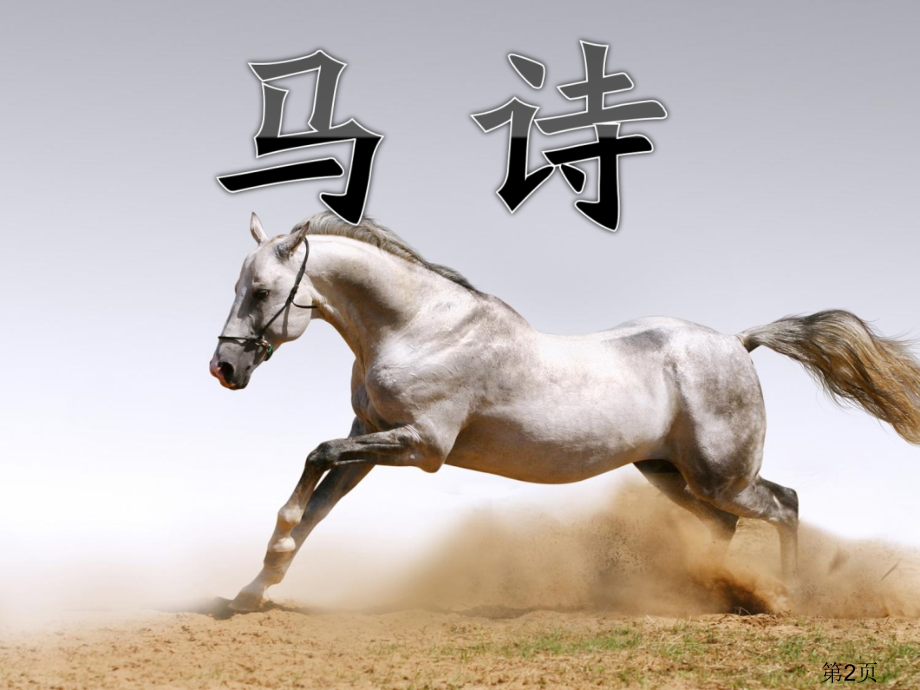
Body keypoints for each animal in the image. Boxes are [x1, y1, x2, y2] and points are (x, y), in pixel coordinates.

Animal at [210, 211, 920, 612]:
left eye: (263, 292)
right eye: (238, 286)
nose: (224, 369)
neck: (418, 328)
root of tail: (736, 342)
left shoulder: (421, 446)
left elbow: (316, 458)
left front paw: (265, 566)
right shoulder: (375, 436)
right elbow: (318, 504)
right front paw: (253, 590)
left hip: (723, 475)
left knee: (787, 504)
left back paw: (787, 598)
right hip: (670, 474)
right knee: (725, 526)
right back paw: (716, 594)